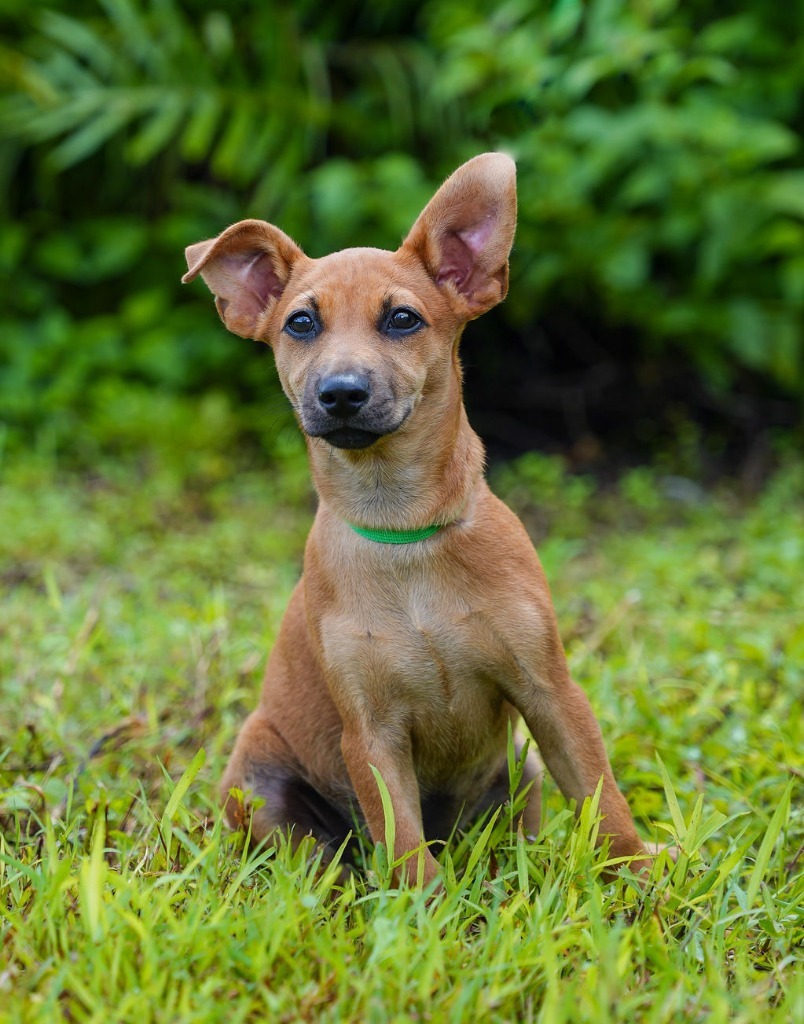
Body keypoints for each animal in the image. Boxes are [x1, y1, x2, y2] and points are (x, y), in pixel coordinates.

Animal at [182, 153, 647, 888]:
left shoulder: (550, 693)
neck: (401, 529)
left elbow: (602, 798)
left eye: (402, 319)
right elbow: (401, 841)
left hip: (521, 770)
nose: (341, 394)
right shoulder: (370, 733)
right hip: (257, 776)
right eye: (300, 324)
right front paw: (424, 912)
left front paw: (642, 882)